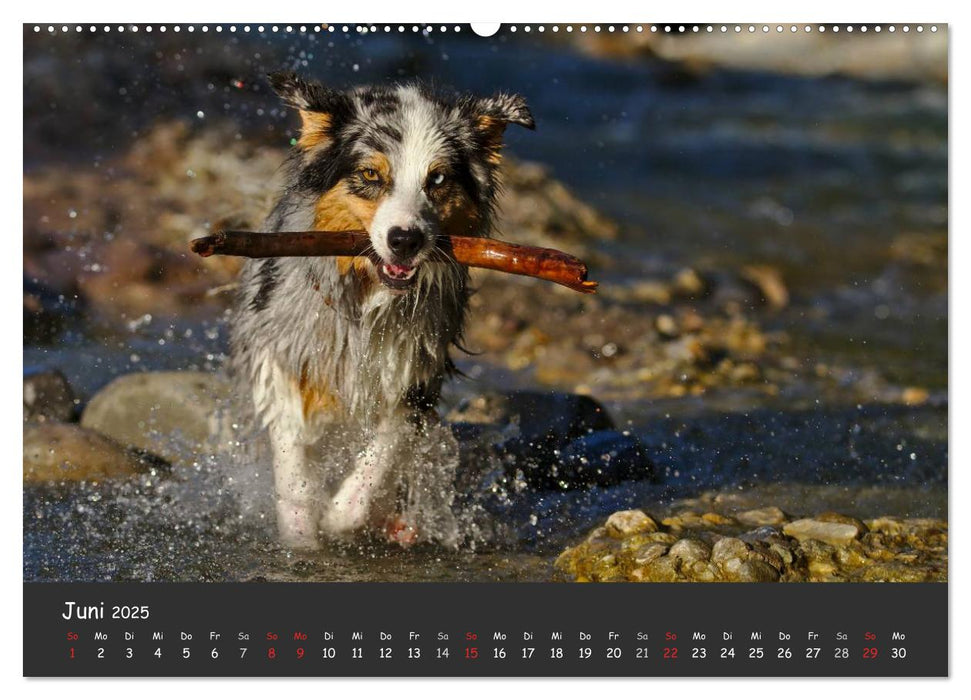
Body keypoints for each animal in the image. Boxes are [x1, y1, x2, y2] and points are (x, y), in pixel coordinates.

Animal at [231, 74, 536, 548]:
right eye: (371, 175)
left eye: (438, 179)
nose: (405, 240)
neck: (369, 297)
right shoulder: (282, 344)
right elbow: (291, 453)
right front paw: (302, 530)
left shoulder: (417, 366)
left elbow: (387, 448)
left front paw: (342, 514)